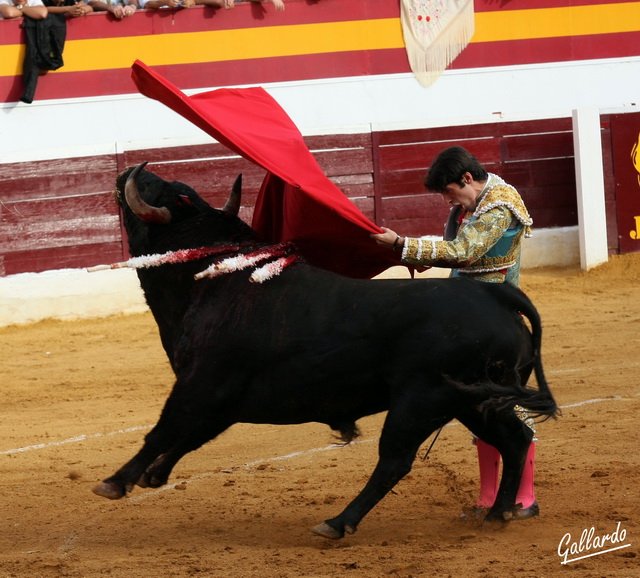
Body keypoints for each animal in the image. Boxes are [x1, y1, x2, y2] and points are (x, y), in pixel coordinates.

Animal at [92, 164, 556, 536]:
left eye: (157, 190)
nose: (132, 170)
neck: (215, 279)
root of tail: (497, 298)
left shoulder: (201, 384)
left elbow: (163, 430)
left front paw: (116, 481)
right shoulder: (222, 400)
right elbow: (189, 436)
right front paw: (154, 475)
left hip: (423, 401)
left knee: (395, 460)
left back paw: (338, 522)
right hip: (473, 402)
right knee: (514, 440)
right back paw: (498, 513)